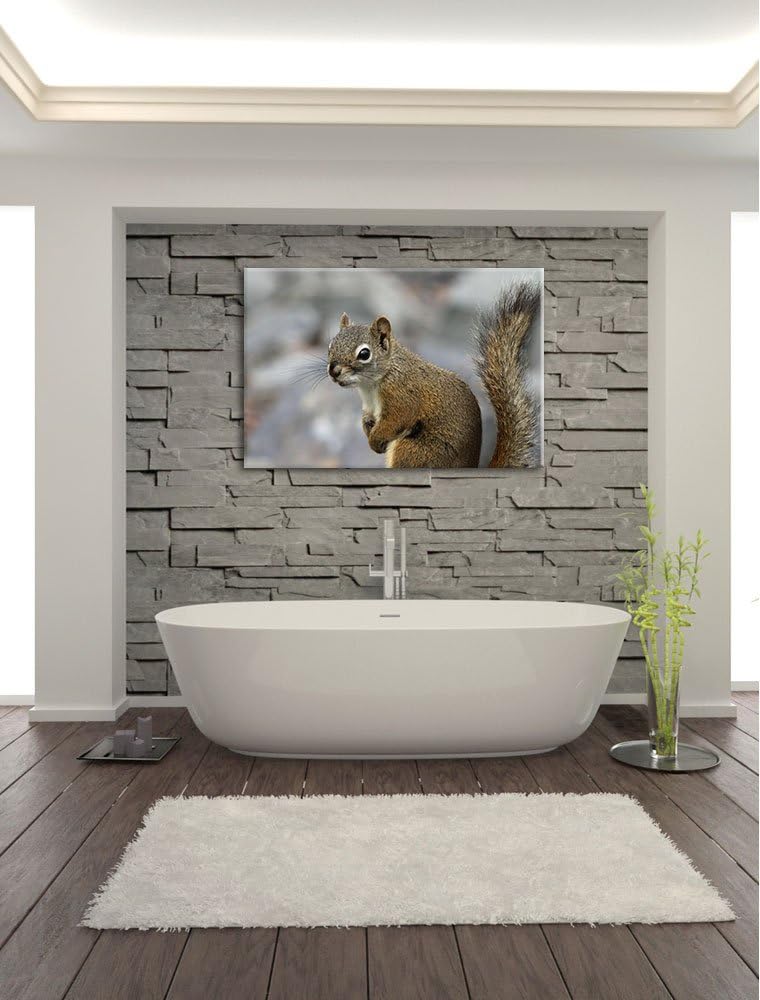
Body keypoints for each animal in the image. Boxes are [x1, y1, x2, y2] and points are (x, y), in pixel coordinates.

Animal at [327, 280, 541, 469]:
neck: (371, 385)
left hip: (416, 451)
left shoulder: (402, 396)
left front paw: (375, 440)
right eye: (330, 345)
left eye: (364, 354)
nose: (333, 371)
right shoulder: (369, 406)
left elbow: (397, 420)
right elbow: (367, 419)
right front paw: (368, 430)